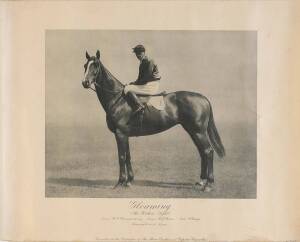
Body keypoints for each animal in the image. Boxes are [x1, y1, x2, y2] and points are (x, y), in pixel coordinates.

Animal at [82, 50, 225, 192]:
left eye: (95, 65)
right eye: (85, 65)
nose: (85, 82)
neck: (118, 99)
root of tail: (203, 98)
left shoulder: (120, 134)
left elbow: (121, 157)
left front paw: (120, 182)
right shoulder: (125, 135)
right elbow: (128, 156)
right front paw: (129, 181)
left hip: (198, 132)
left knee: (208, 151)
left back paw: (209, 184)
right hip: (192, 131)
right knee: (202, 152)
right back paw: (202, 181)